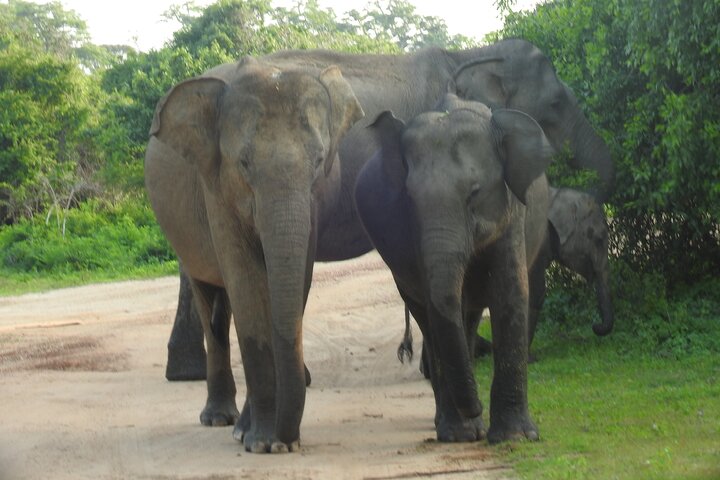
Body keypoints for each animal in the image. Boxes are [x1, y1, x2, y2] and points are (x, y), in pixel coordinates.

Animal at [145, 57, 364, 453]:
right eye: (244, 163)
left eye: (318, 160)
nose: (286, 439)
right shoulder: (214, 186)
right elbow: (246, 281)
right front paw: (263, 443)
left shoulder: (316, 200)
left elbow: (295, 281)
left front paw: (270, 441)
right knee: (209, 303)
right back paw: (219, 420)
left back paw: (237, 425)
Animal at [355, 93, 554, 443]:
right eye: (409, 197)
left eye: (474, 193)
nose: (476, 408)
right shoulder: (414, 234)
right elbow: (441, 306)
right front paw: (465, 433)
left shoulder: (512, 211)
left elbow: (509, 293)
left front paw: (515, 437)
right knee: (430, 315)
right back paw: (452, 428)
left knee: (468, 316)